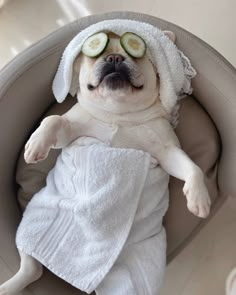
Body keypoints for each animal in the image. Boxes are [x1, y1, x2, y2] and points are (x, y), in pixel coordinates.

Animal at [0, 31, 211, 294]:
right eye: (96, 54)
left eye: (135, 52)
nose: (114, 57)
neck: (118, 113)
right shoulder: (70, 131)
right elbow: (54, 120)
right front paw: (36, 144)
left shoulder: (166, 152)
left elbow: (192, 168)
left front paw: (198, 198)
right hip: (36, 220)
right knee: (30, 266)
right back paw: (10, 285)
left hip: (136, 263)